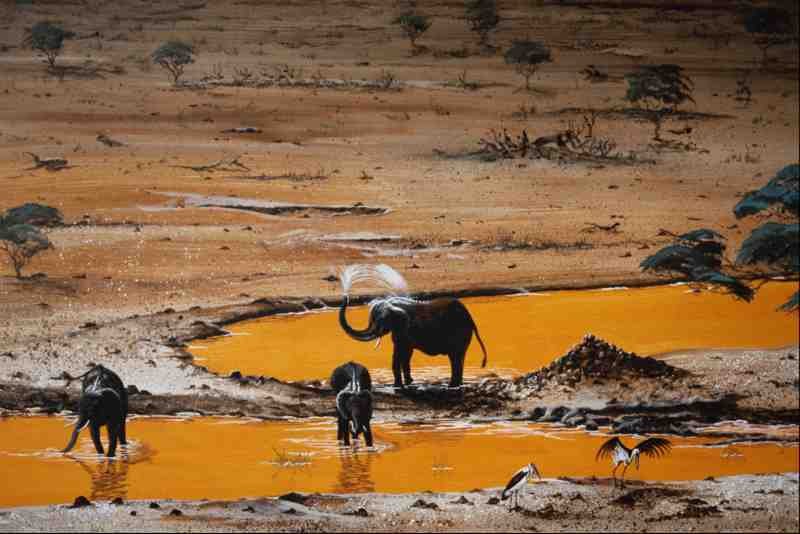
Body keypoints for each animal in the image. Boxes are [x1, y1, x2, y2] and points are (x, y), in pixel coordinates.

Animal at [339, 295, 488, 388]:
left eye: (380, 321)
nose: (346, 298)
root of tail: (470, 317)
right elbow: (405, 355)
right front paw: (409, 382)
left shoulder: (403, 332)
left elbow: (400, 354)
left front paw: (398, 386)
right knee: (459, 358)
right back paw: (457, 384)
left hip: (459, 333)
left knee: (455, 358)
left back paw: (452, 386)